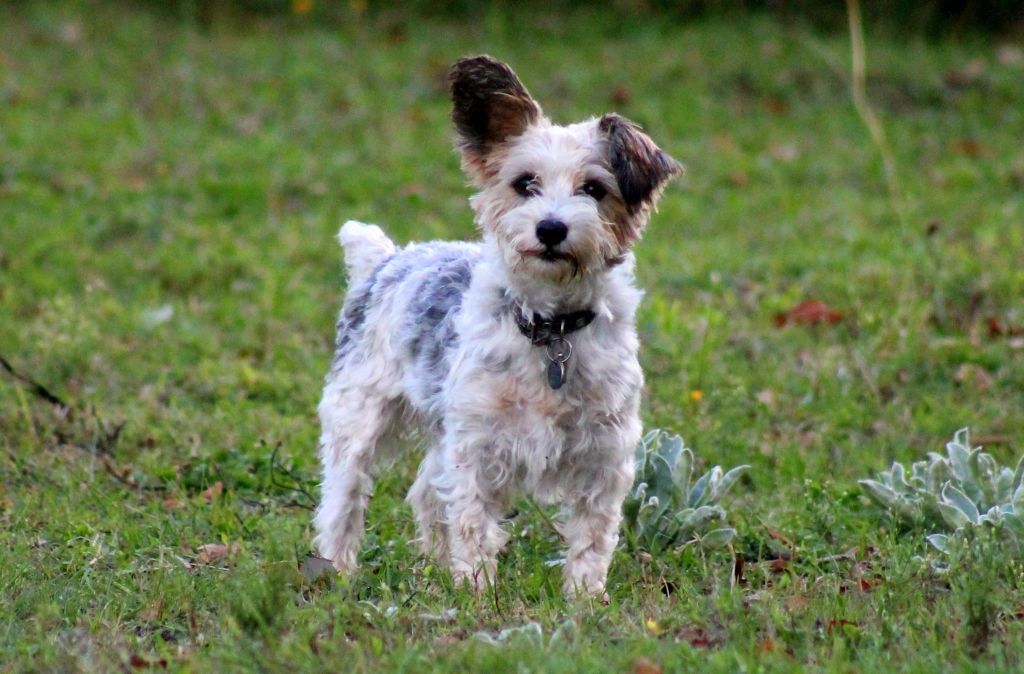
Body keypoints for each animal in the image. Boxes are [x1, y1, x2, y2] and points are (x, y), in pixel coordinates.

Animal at [311, 56, 679, 594]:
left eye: (594, 189)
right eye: (525, 183)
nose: (551, 228)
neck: (551, 329)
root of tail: (387, 258)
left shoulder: (605, 453)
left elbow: (592, 537)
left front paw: (584, 599)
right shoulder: (478, 445)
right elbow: (473, 523)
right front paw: (477, 592)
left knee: (425, 490)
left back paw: (432, 565)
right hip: (359, 414)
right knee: (344, 497)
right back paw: (337, 569)